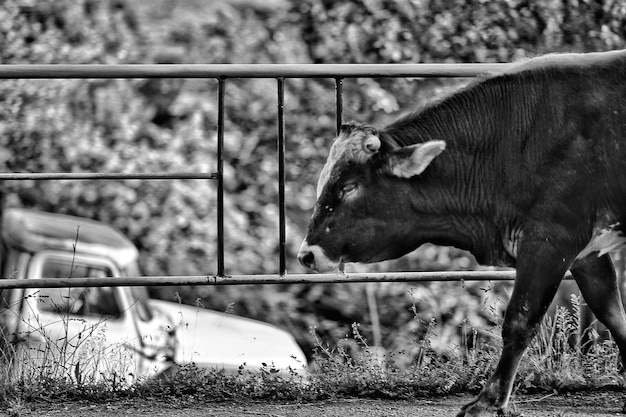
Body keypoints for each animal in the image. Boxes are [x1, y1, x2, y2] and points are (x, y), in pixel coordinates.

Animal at [296, 50, 624, 414]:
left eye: (349, 188)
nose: (307, 254)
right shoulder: (588, 253)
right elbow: (613, 315)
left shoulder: (550, 241)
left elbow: (519, 320)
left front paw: (488, 400)